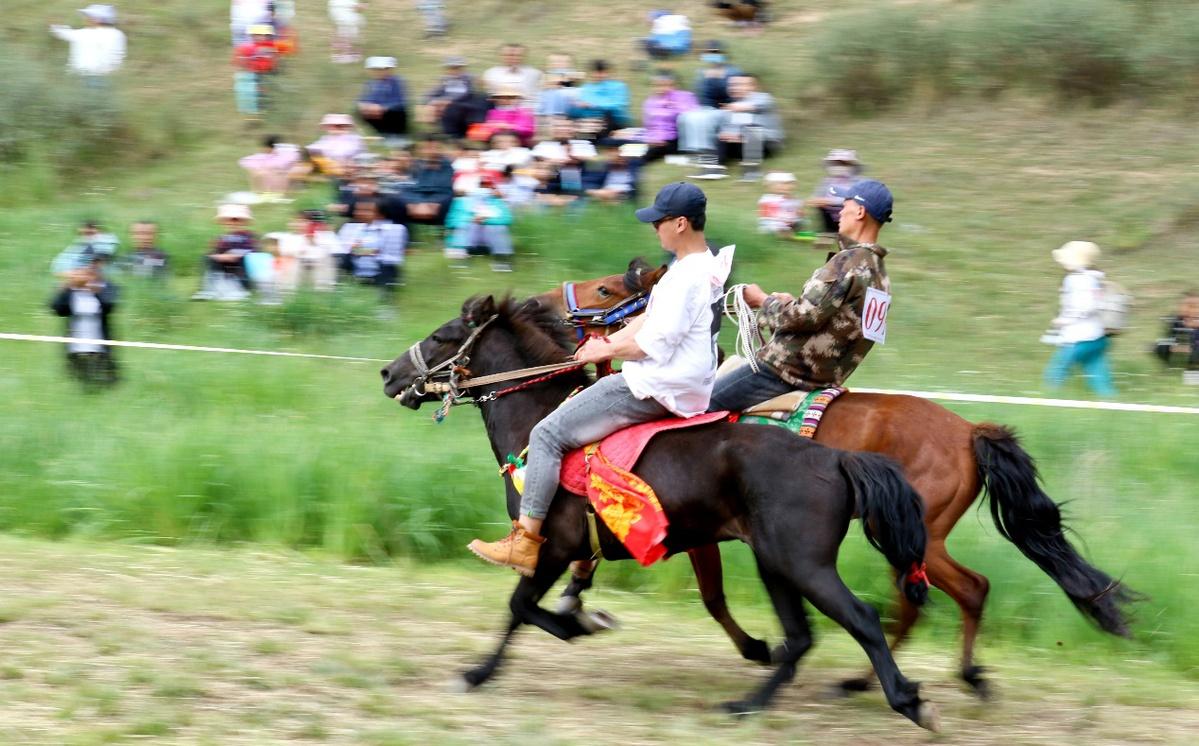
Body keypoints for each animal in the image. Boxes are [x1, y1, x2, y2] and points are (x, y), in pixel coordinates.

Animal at [378, 298, 940, 729]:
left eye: (442, 335)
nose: (388, 373)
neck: (538, 424)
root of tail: (835, 458)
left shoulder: (553, 544)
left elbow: (519, 605)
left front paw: (488, 668)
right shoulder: (578, 551)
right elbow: (532, 605)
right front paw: (570, 623)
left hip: (803, 563)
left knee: (861, 619)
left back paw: (906, 700)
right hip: (775, 562)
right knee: (800, 638)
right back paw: (747, 704)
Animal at [549, 256, 1136, 695]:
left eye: (604, 287)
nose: (542, 304)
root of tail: (970, 430)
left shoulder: (693, 529)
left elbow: (711, 596)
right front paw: (572, 595)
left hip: (915, 535)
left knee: (961, 591)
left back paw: (927, 677)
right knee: (923, 599)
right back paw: (887, 679)